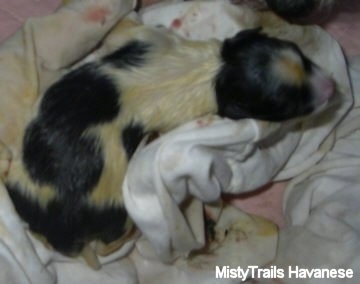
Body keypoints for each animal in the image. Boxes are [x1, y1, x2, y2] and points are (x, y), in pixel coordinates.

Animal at [3, 20, 334, 268]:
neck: (218, 70)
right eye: (287, 105)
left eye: (301, 55)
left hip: (22, 183)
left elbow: (123, 30)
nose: (331, 86)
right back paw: (130, 237)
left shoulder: (148, 40)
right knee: (111, 240)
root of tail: (59, 229)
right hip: (115, 210)